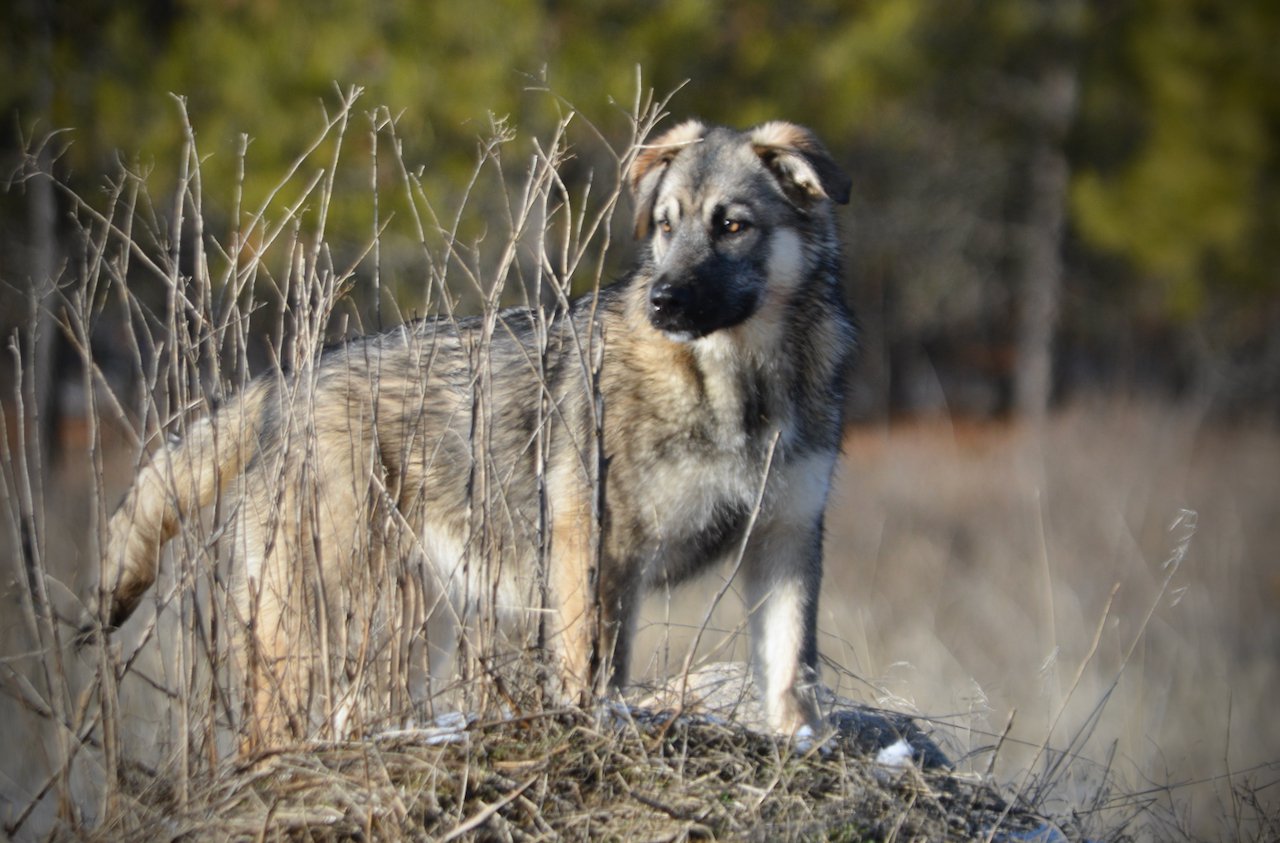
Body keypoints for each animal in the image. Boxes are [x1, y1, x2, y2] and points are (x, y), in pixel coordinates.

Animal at [87, 118, 849, 747]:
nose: (662, 298)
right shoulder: (596, 552)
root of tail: (283, 385)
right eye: (666, 226)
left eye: (732, 226)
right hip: (333, 623)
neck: (738, 387)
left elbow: (792, 670)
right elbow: (591, 674)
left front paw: (802, 745)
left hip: (403, 633)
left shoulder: (786, 536)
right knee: (266, 732)